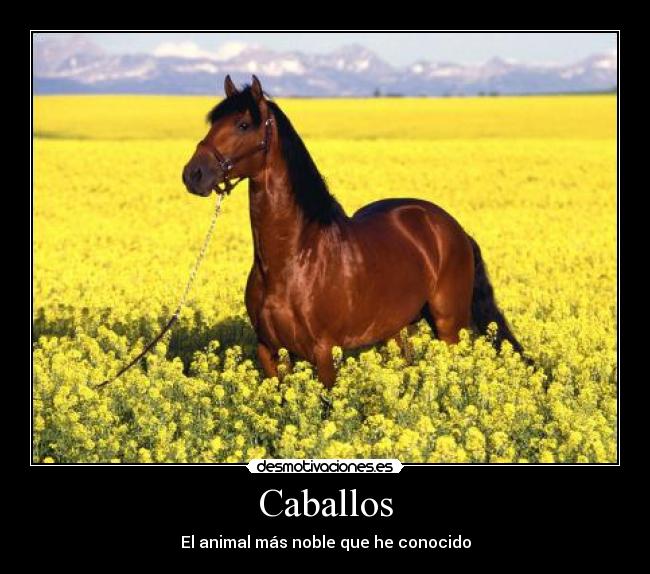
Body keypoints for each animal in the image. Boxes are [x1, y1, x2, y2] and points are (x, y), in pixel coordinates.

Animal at [182, 75, 524, 388]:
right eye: (213, 122)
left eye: (243, 125)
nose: (193, 174)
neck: (292, 258)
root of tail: (453, 228)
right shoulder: (269, 351)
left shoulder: (323, 352)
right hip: (397, 327)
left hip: (449, 325)